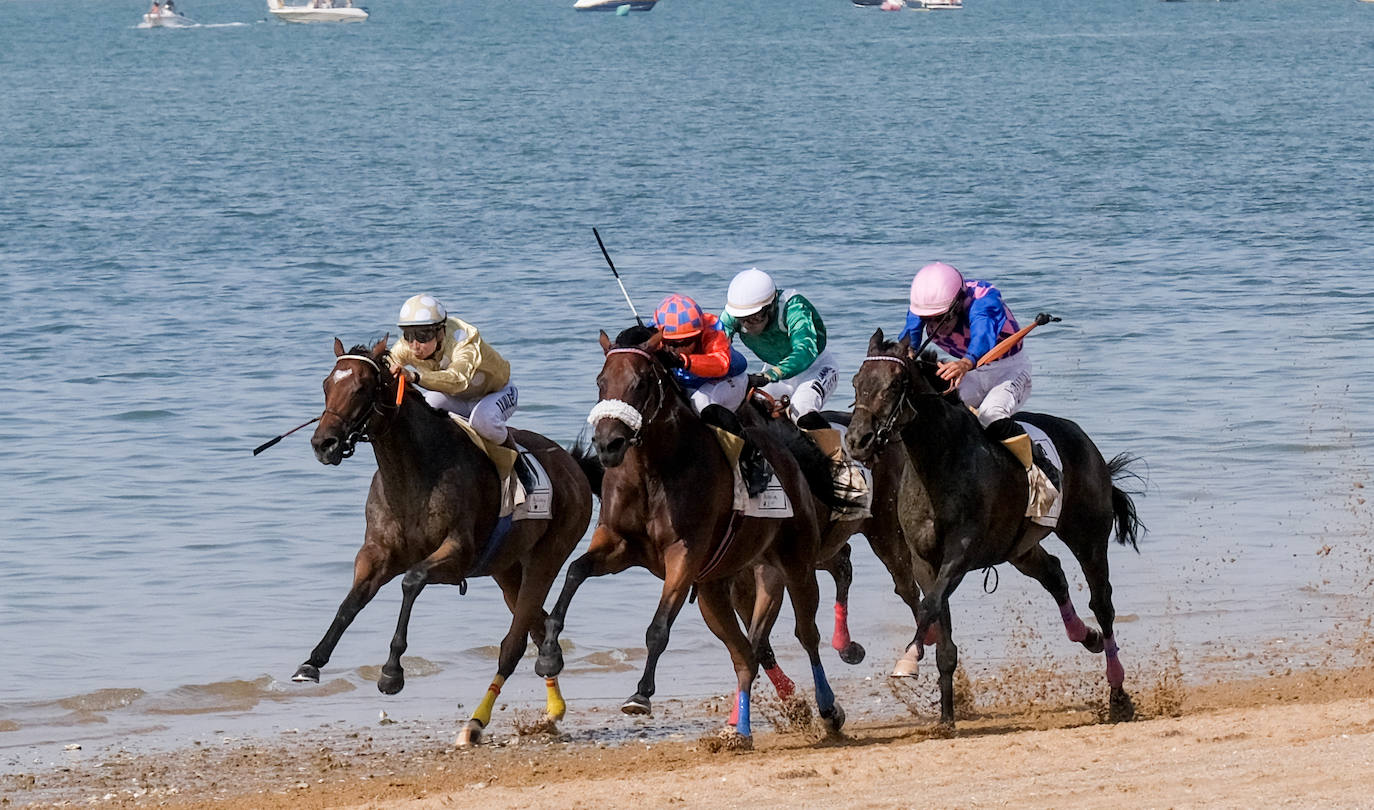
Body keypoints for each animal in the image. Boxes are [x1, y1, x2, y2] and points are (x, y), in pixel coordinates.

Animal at [295, 338, 593, 746]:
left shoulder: (456, 554)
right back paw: (552, 700)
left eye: (361, 387)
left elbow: (411, 581)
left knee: (513, 644)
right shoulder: (377, 554)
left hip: (548, 554)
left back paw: (477, 722)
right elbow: (350, 603)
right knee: (535, 624)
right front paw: (312, 662)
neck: (413, 473)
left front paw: (391, 672)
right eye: (327, 384)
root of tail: (574, 464)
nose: (323, 443)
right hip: (506, 571)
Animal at [533, 326, 859, 744]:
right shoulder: (618, 545)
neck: (654, 471)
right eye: (600, 381)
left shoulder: (684, 555)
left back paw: (827, 708)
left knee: (807, 633)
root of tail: (789, 456)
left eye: (640, 383)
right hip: (714, 591)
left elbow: (658, 628)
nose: (607, 445)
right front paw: (548, 655)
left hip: (795, 562)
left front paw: (641, 694)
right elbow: (574, 572)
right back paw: (740, 730)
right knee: (745, 654)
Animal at [845, 330, 1144, 726]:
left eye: (895, 384)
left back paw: (1118, 695)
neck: (940, 461)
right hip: (1020, 546)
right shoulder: (925, 560)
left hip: (1088, 536)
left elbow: (929, 606)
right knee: (1054, 574)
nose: (857, 441)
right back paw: (1087, 636)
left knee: (1103, 604)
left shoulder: (960, 554)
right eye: (856, 382)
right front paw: (946, 717)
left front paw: (907, 660)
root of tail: (1084, 441)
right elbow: (938, 623)